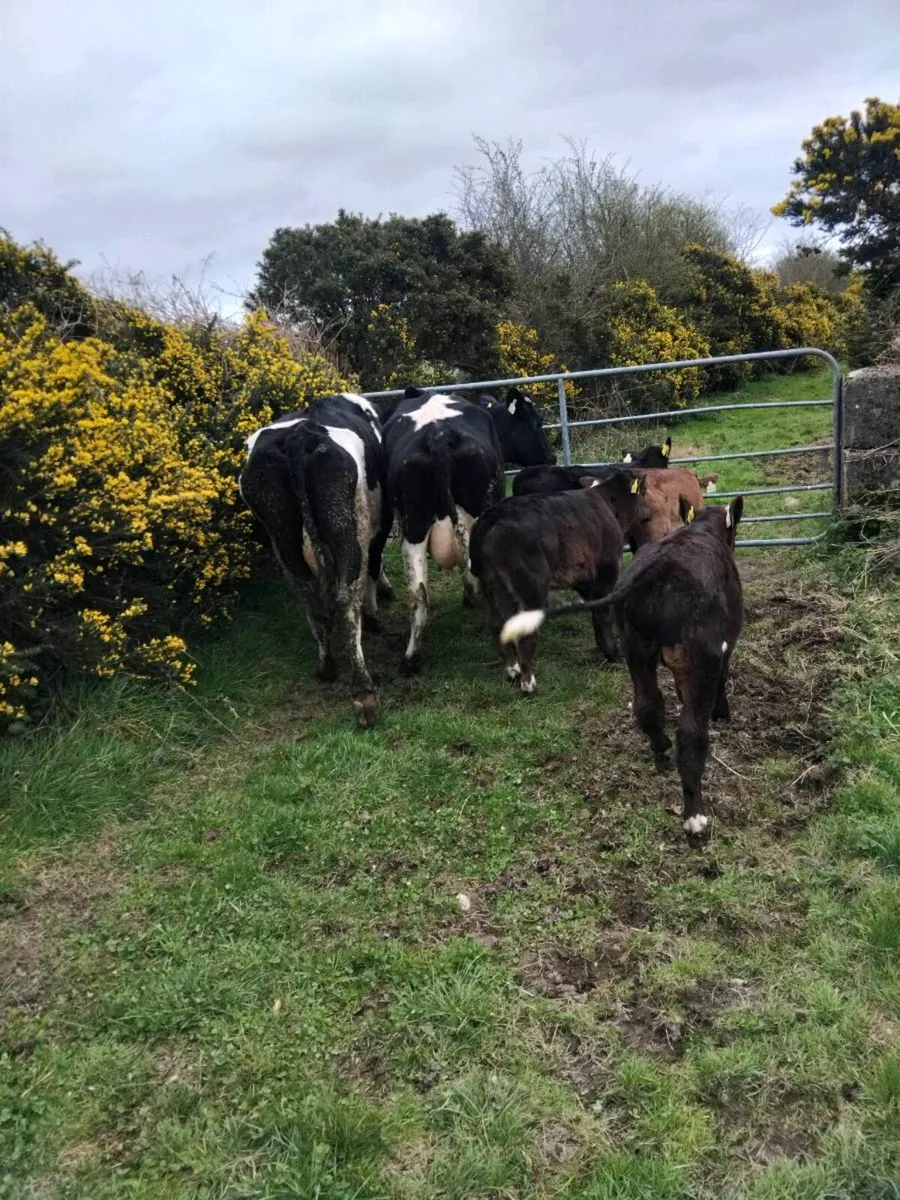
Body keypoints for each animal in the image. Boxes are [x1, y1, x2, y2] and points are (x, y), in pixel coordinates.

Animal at [239, 392, 391, 728]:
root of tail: (298, 436)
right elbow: (374, 567)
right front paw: (376, 612)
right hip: (344, 529)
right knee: (347, 597)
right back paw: (364, 691)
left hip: (282, 536)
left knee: (310, 596)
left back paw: (326, 666)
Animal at [468, 469, 647, 693]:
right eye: (644, 492)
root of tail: (493, 516)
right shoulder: (607, 572)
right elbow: (605, 614)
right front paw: (613, 654)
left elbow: (596, 613)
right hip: (532, 587)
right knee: (524, 633)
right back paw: (528, 684)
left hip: (491, 584)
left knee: (497, 623)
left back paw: (512, 670)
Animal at [500, 497, 745, 839]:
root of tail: (657, 570)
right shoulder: (725, 645)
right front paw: (723, 713)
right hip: (697, 657)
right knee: (691, 732)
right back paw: (695, 817)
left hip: (636, 650)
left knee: (647, 707)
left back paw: (661, 751)